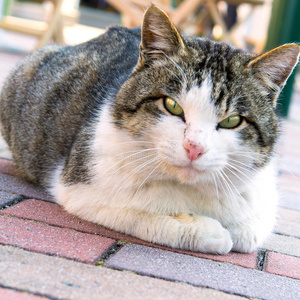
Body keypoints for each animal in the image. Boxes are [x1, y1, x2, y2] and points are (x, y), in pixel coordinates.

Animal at [0, 5, 298, 253]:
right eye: (172, 105)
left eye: (231, 121)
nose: (194, 148)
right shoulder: (80, 187)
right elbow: (145, 209)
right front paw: (207, 230)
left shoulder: (261, 199)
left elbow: (249, 231)